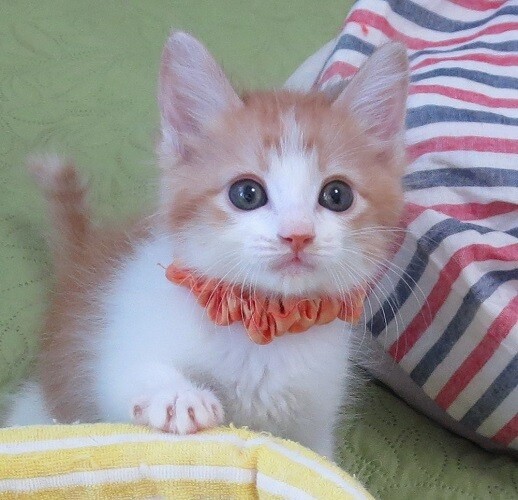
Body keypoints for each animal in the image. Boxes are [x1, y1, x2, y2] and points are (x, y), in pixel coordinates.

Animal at [4, 31, 409, 459]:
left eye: (337, 195)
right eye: (246, 193)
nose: (297, 234)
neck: (261, 328)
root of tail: (80, 258)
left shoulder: (315, 422)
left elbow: (312, 458)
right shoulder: (120, 336)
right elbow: (124, 372)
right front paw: (176, 394)